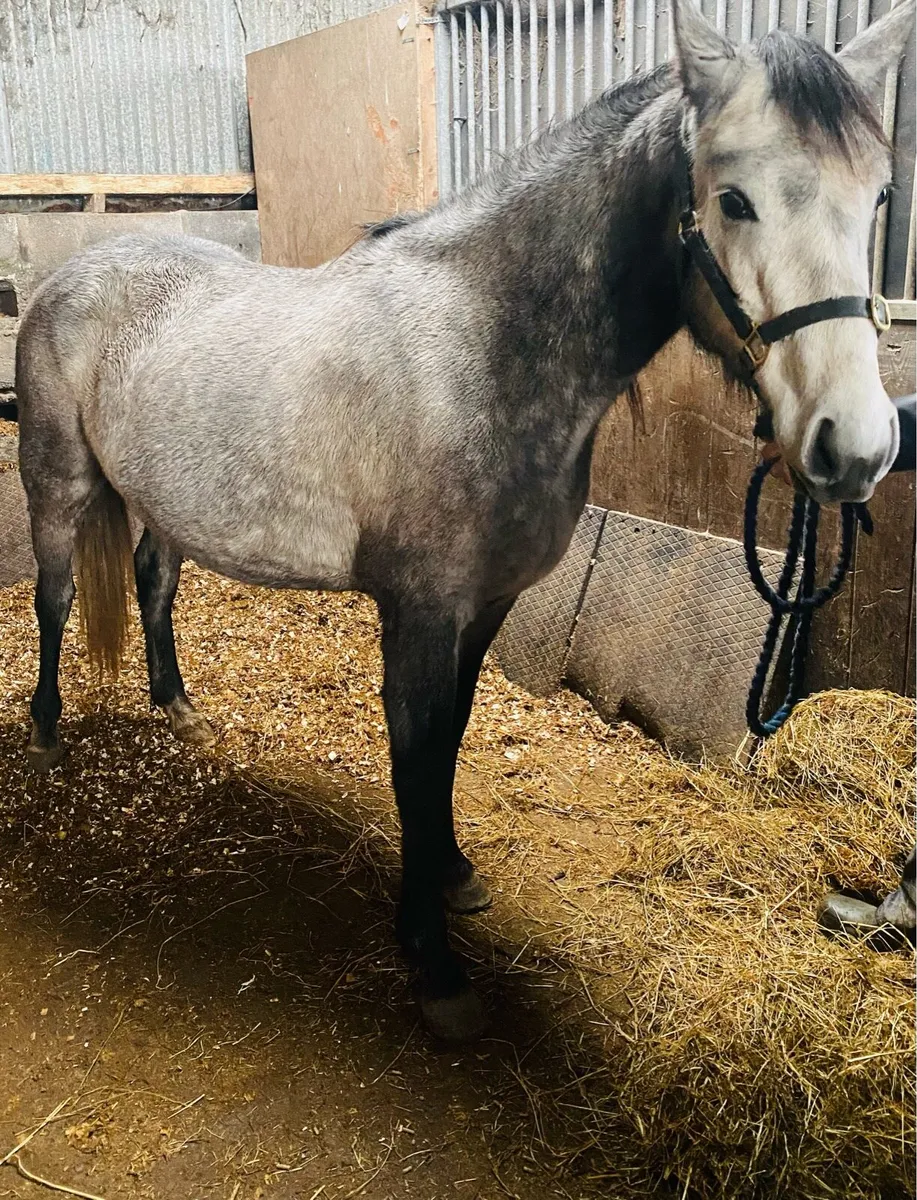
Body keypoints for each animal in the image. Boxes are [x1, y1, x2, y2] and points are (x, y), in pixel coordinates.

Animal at [13, 0, 915, 1040]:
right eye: (733, 200)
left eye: (877, 198)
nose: (855, 446)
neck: (482, 355)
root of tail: (75, 274)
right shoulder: (417, 612)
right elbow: (412, 758)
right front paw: (433, 964)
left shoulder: (484, 609)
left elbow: (450, 741)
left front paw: (450, 877)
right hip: (58, 484)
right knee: (53, 598)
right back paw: (45, 733)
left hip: (166, 503)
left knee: (154, 588)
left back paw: (177, 708)